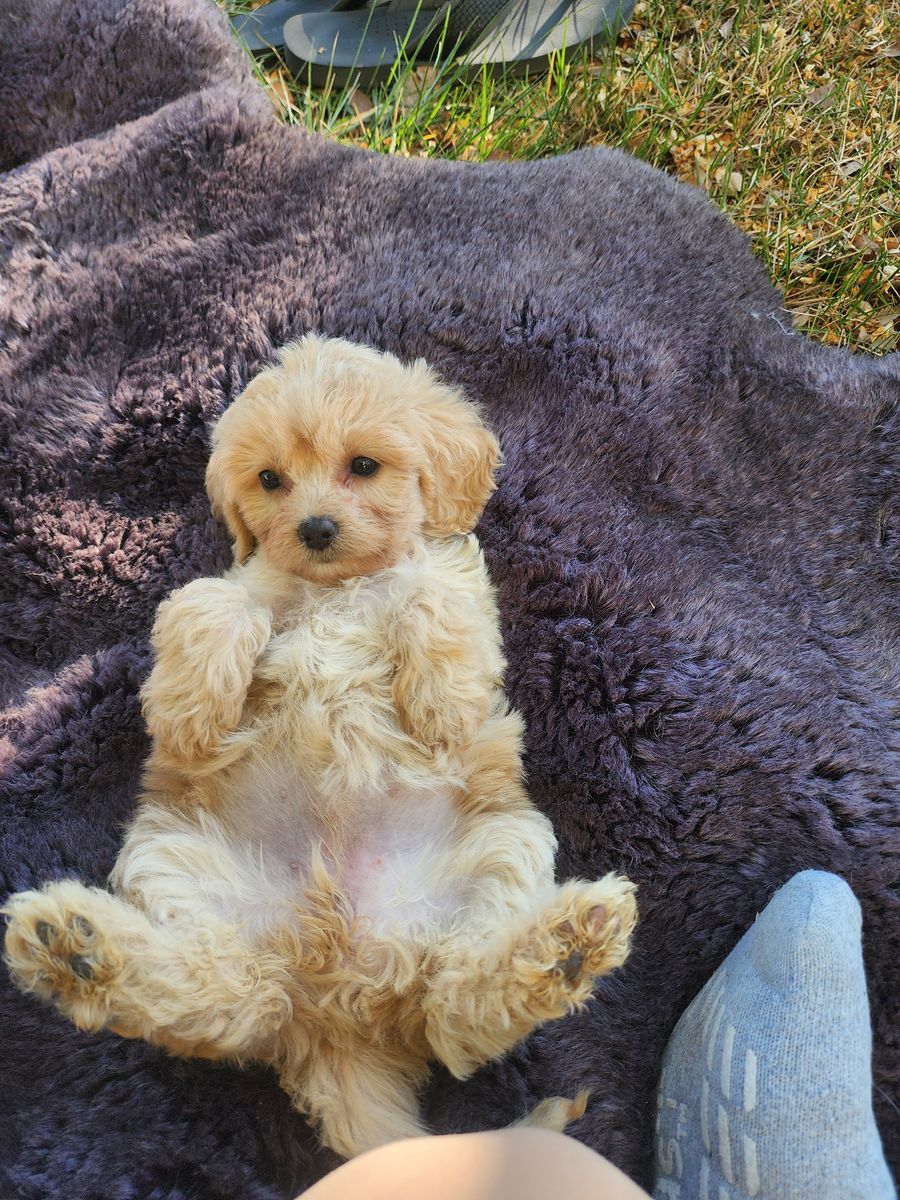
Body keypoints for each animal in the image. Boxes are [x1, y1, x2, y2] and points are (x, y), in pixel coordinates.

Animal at [4, 335, 637, 1158]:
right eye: (269, 480)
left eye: (362, 465)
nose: (314, 529)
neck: (336, 588)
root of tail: (339, 1004)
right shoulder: (240, 583)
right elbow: (214, 602)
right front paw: (191, 713)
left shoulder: (457, 583)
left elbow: (430, 596)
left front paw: (443, 705)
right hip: (176, 865)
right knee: (227, 995)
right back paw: (77, 953)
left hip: (502, 850)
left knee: (453, 1008)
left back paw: (564, 945)